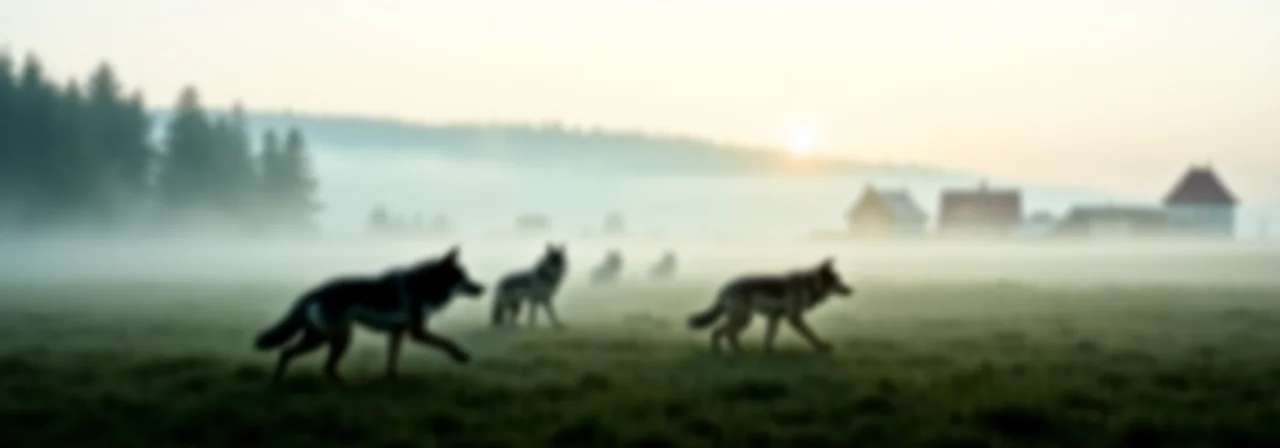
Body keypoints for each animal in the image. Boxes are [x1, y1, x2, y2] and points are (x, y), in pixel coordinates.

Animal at [253, 246, 485, 383]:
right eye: (462, 277)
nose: (482, 288)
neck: (424, 285)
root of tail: (314, 291)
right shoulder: (417, 332)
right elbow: (447, 342)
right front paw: (461, 356)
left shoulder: (398, 333)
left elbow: (392, 359)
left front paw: (391, 378)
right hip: (334, 339)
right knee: (321, 365)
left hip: (322, 339)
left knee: (291, 354)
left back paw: (277, 383)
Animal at [687, 257, 853, 354]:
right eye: (837, 281)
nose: (851, 290)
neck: (809, 285)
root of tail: (725, 288)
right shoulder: (794, 318)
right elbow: (810, 333)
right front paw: (821, 346)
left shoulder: (775, 317)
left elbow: (770, 336)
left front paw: (769, 352)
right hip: (744, 319)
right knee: (724, 333)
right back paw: (736, 352)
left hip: (742, 319)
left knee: (721, 332)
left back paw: (724, 352)